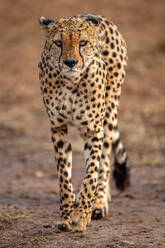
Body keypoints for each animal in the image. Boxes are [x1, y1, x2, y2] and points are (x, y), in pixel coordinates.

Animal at [38, 14, 130, 232]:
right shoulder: (58, 128)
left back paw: (99, 203)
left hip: (108, 114)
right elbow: (64, 178)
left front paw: (82, 216)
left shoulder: (94, 130)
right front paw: (65, 217)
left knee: (105, 163)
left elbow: (91, 174)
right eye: (58, 43)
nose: (71, 62)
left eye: (82, 43)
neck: (71, 83)